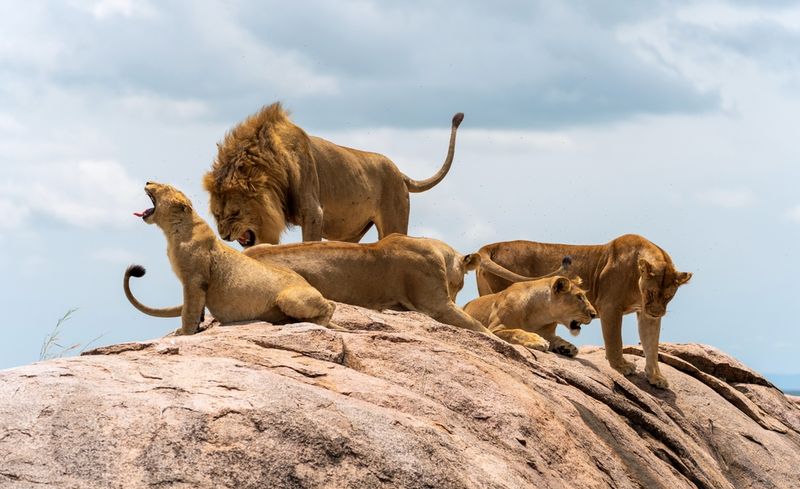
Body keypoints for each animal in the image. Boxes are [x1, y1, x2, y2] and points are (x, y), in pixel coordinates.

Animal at [123, 182, 335, 335]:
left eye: (164, 187)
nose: (148, 181)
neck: (173, 231)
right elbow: (198, 309)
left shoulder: (194, 280)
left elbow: (190, 310)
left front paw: (184, 333)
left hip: (289, 297)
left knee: (331, 306)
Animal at [203, 102, 464, 247]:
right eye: (217, 214)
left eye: (236, 213)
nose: (224, 236)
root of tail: (400, 173)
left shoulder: (313, 211)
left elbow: (309, 243)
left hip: (394, 220)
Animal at [463, 258, 597, 356]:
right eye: (579, 297)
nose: (594, 314)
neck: (541, 316)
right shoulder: (494, 329)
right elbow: (516, 331)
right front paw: (537, 340)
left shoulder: (549, 333)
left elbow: (557, 338)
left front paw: (567, 347)